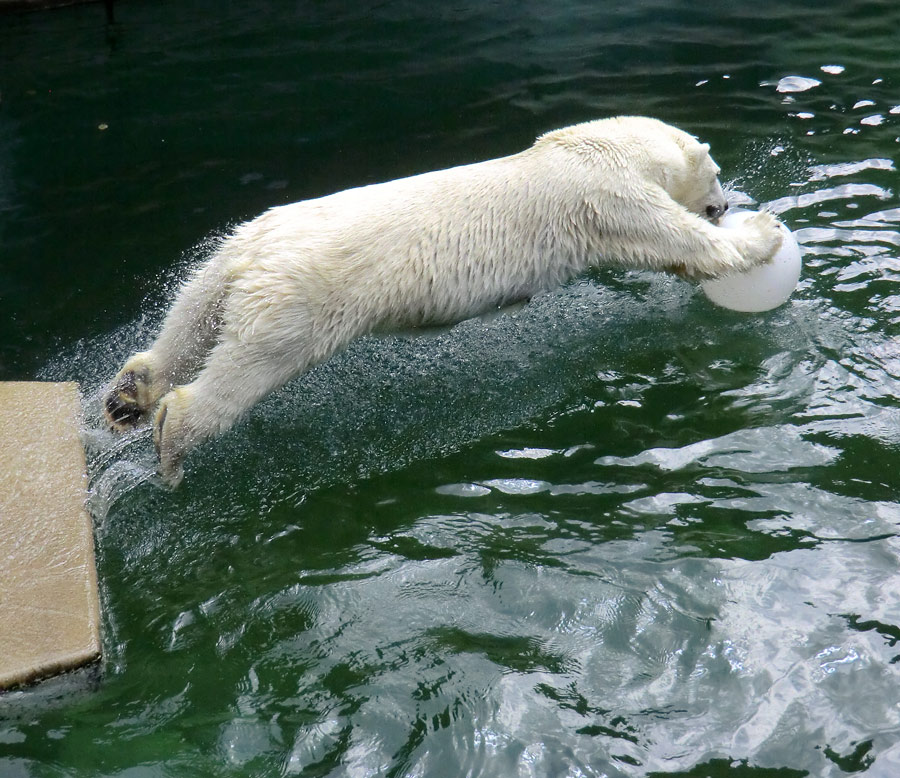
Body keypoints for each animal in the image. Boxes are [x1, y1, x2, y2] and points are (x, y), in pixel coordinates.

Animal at [103, 115, 780, 482]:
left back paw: (130, 394)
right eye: (717, 172)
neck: (592, 148)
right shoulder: (607, 199)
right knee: (248, 365)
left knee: (189, 319)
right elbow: (686, 243)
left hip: (230, 255)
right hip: (299, 297)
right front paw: (765, 234)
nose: (725, 203)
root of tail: (257, 251)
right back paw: (171, 442)